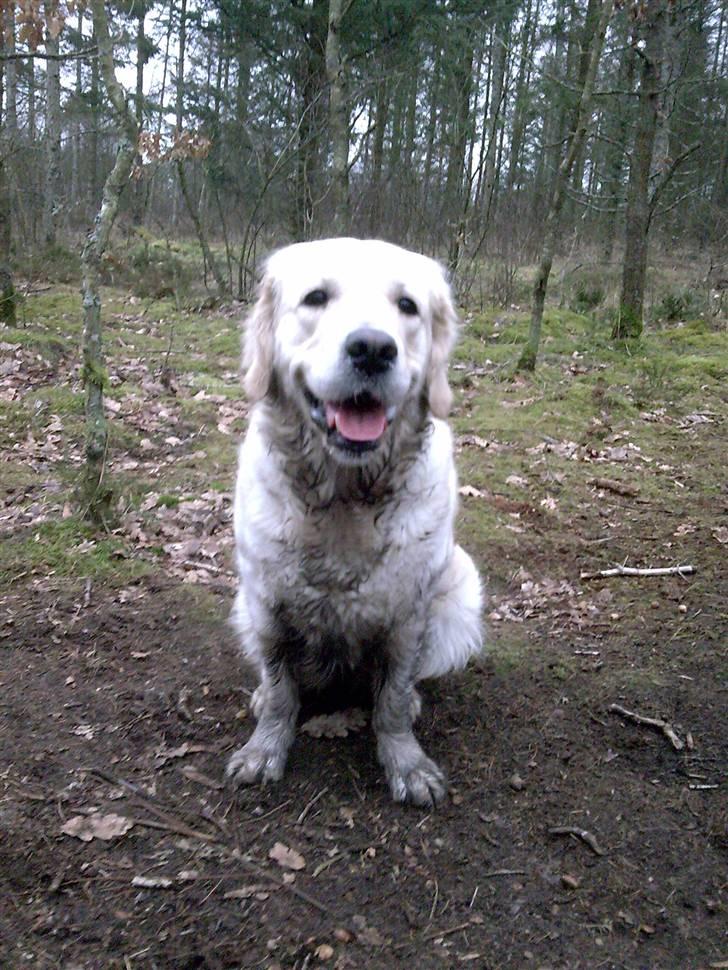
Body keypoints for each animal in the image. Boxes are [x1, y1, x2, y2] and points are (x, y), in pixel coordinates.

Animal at [228, 238, 484, 804]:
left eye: (407, 306)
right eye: (316, 297)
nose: (372, 349)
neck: (345, 494)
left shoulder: (409, 612)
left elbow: (391, 698)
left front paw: (407, 762)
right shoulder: (266, 602)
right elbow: (280, 689)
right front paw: (264, 748)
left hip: (461, 588)